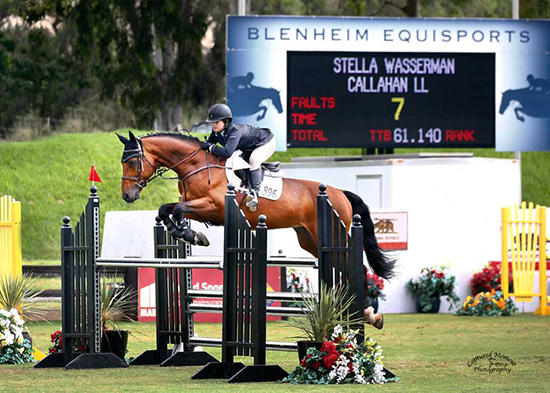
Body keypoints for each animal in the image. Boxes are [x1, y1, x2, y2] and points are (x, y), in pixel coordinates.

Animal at [117, 130, 396, 278]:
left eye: (132, 162)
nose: (127, 196)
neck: (195, 165)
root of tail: (340, 193)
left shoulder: (215, 208)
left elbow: (177, 209)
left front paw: (190, 234)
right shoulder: (196, 204)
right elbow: (166, 209)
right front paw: (185, 233)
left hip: (330, 234)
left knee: (355, 266)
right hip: (309, 239)